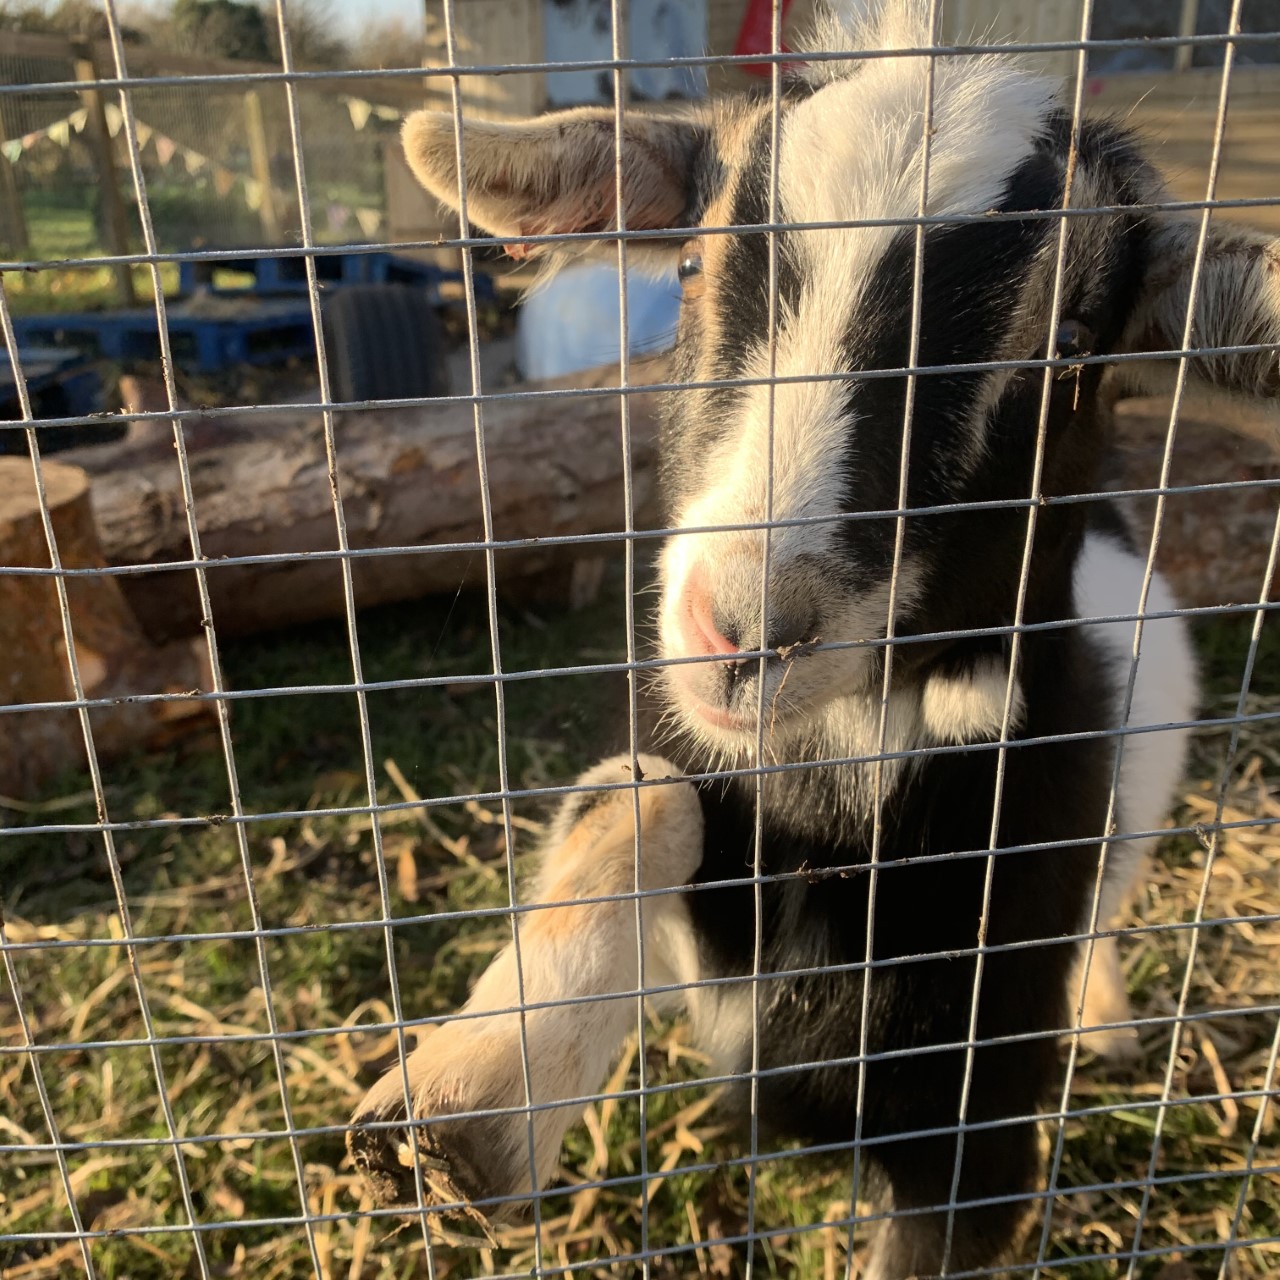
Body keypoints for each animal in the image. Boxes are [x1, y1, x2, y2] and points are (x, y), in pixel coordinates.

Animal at [350, 5, 1280, 1274]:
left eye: (1069, 348)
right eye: (691, 267)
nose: (740, 628)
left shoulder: (967, 1136)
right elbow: (638, 792)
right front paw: (469, 1096)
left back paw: (1105, 1021)